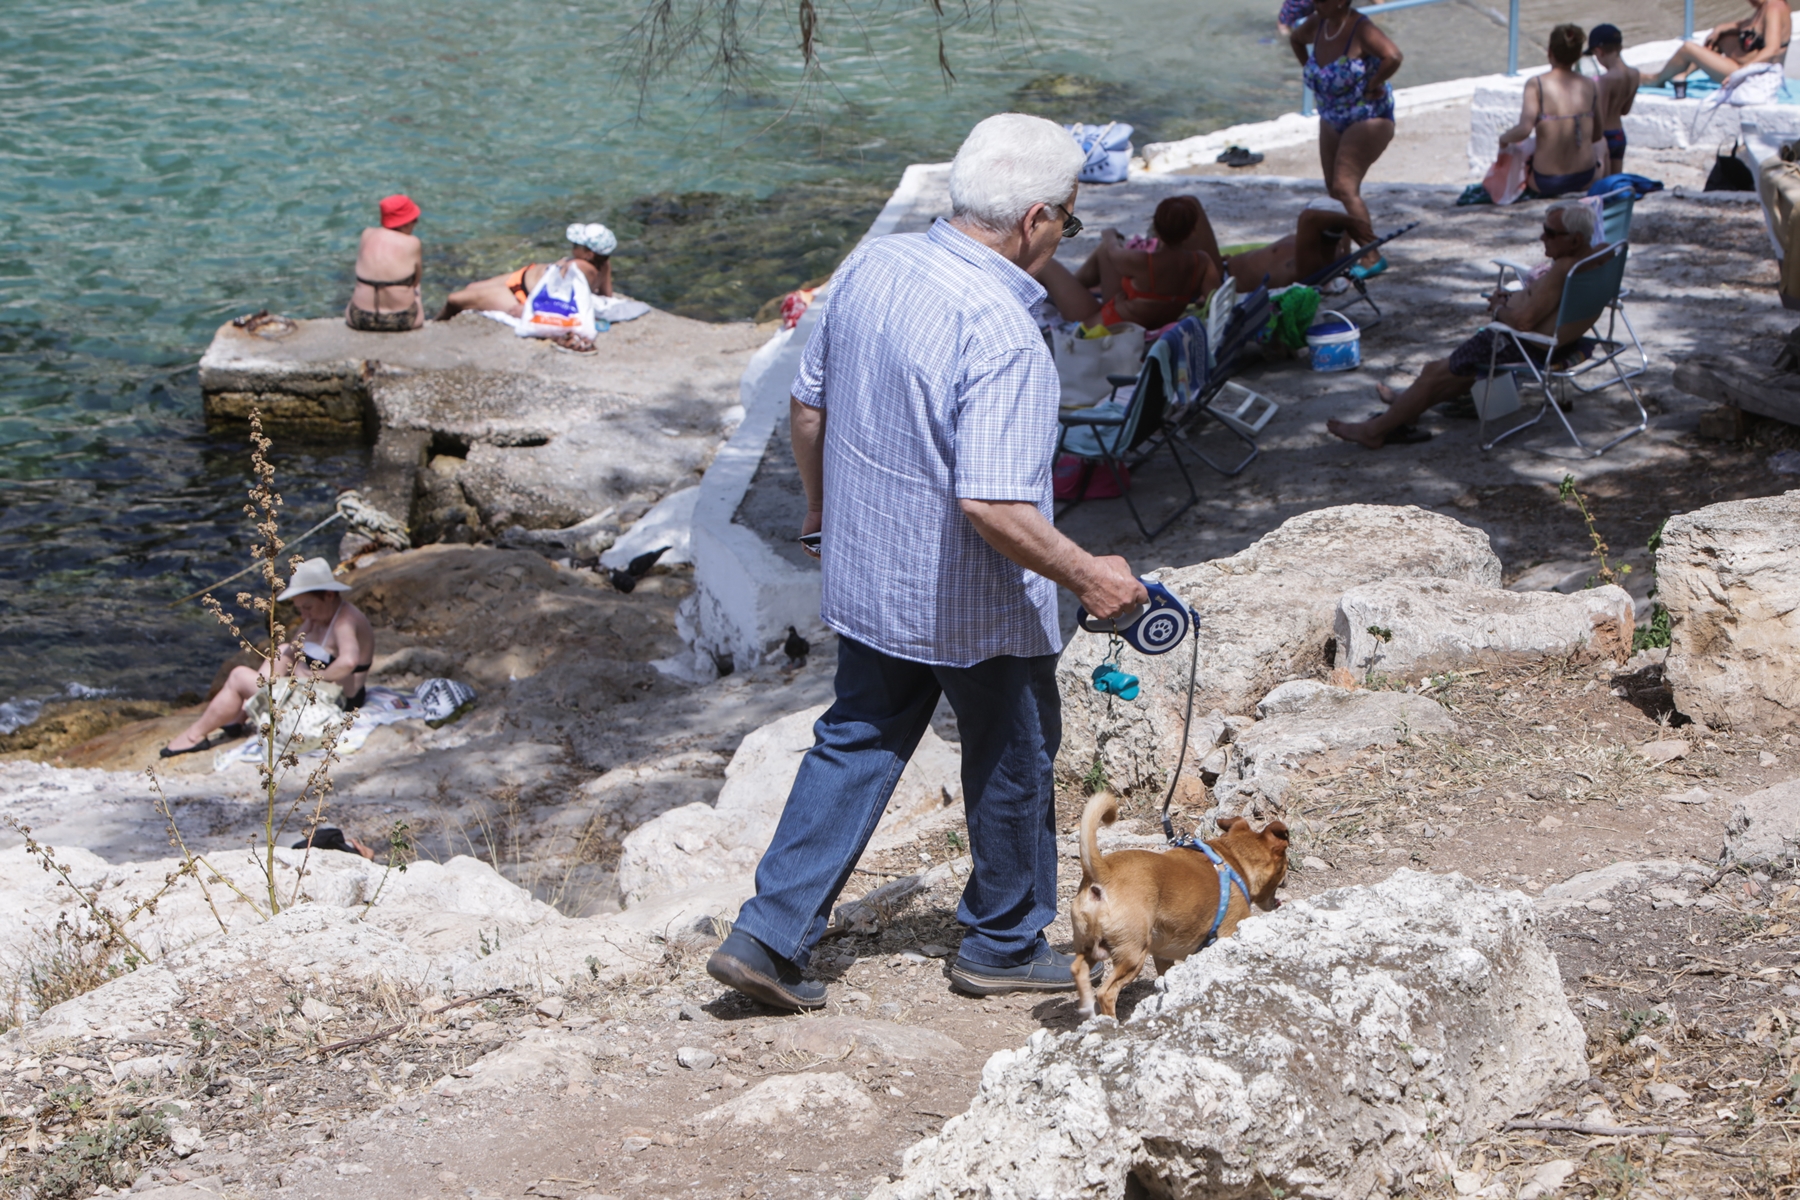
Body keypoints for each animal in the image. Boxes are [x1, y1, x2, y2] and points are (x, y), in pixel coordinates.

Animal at [1065, 791, 1296, 1021]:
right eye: (1286, 862)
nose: (1287, 880)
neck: (1234, 859)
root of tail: (1105, 872)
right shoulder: (1230, 931)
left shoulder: (1163, 957)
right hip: (1133, 954)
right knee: (1107, 993)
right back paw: (1111, 1021)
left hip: (1090, 945)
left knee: (1077, 968)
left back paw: (1087, 1008)